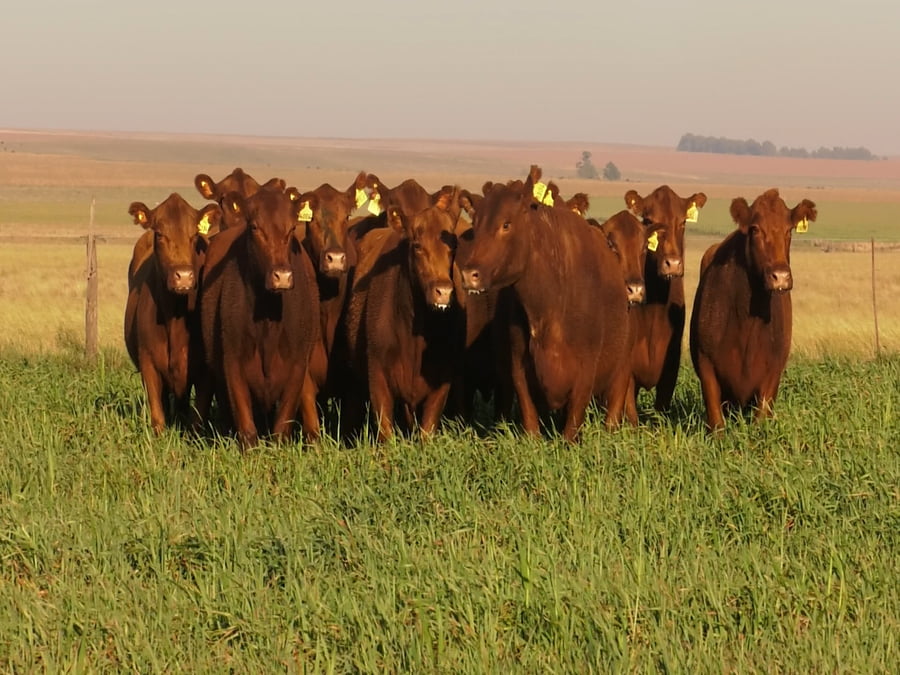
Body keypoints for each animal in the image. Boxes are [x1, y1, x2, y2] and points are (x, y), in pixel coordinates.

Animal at [124, 194, 221, 433]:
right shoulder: (148, 362)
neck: (175, 317)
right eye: (160, 234)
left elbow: (197, 418)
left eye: (194, 235)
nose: (184, 276)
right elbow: (158, 417)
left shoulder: (206, 371)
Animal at [199, 187, 320, 448]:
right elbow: (246, 426)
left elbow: (282, 425)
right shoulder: (232, 361)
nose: (282, 276)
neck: (268, 318)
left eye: (292, 227)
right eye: (255, 227)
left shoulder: (297, 363)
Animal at [344, 188, 465, 442]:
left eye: (454, 247)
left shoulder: (442, 379)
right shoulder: (377, 375)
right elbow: (385, 430)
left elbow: (427, 429)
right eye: (417, 246)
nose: (443, 291)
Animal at [459, 166, 632, 441]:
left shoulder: (587, 369)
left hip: (622, 364)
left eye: (506, 224)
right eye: (475, 226)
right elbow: (530, 420)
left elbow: (572, 426)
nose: (469, 274)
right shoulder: (518, 365)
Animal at [690, 188, 817, 430]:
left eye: (789, 230)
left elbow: (761, 420)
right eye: (756, 229)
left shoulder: (773, 371)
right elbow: (717, 422)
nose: (780, 276)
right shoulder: (706, 363)